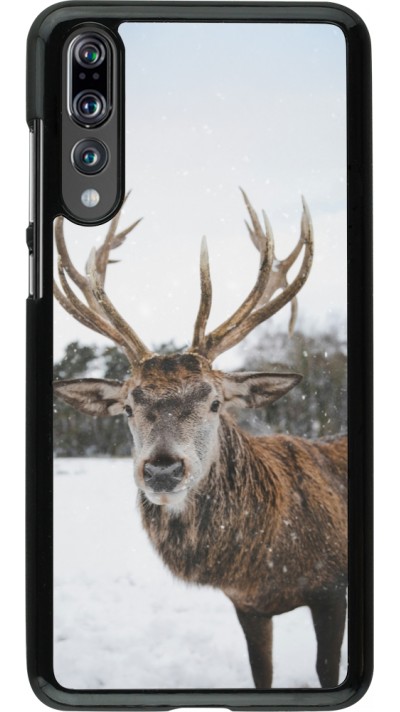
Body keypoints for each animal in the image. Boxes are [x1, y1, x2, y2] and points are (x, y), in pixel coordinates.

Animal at [53, 190, 347, 689]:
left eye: (214, 401)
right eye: (128, 407)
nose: (162, 469)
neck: (266, 564)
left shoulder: (332, 588)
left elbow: (328, 669)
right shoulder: (248, 605)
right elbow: (261, 673)